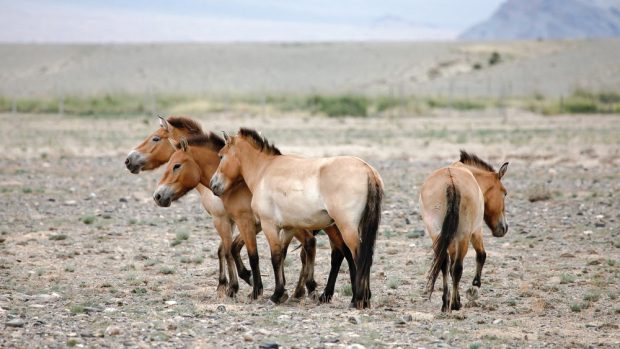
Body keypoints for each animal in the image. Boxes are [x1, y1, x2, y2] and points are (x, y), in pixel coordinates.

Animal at [124, 117, 253, 296]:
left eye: (155, 138)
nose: (128, 160)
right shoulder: (229, 220)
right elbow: (223, 249)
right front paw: (224, 283)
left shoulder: (226, 219)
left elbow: (229, 250)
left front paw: (236, 283)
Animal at [209, 128, 382, 308]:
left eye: (221, 156)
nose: (213, 185)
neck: (264, 170)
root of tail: (368, 170)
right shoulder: (288, 227)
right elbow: (282, 256)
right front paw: (284, 293)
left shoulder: (268, 225)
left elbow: (274, 257)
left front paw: (275, 295)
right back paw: (360, 298)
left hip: (346, 227)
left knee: (357, 256)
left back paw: (358, 299)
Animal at [422, 151, 508, 312]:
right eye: (505, 193)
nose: (504, 228)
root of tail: (451, 182)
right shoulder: (476, 231)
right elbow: (481, 255)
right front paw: (475, 284)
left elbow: (448, 266)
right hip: (464, 237)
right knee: (457, 268)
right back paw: (455, 304)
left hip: (436, 234)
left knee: (443, 263)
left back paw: (446, 303)